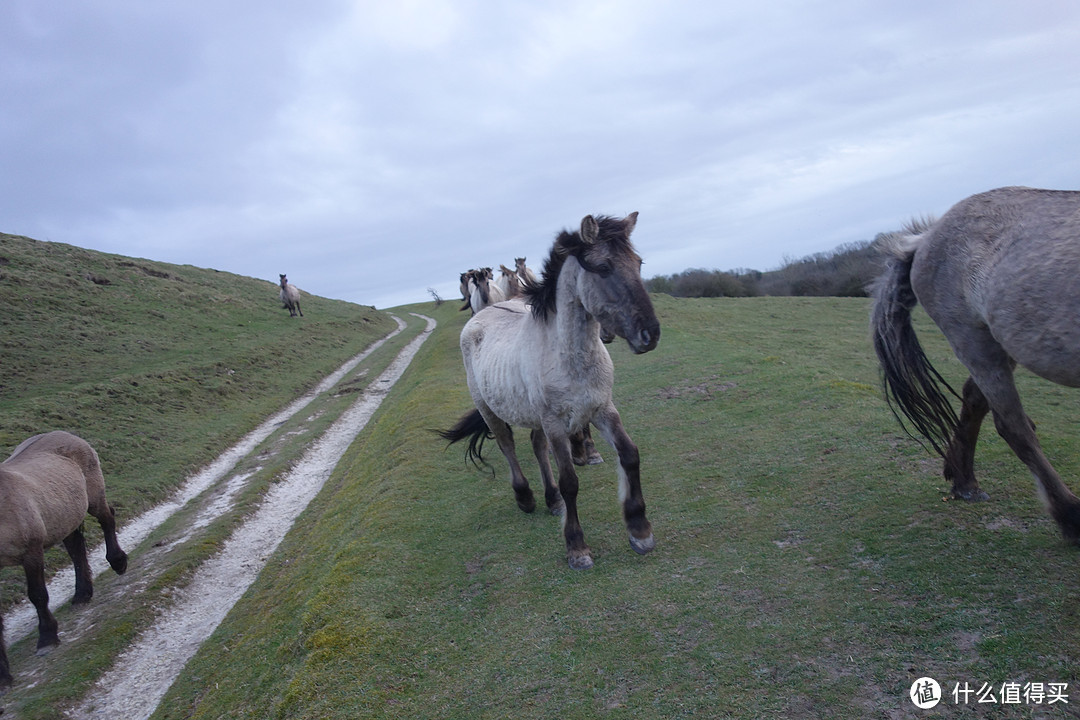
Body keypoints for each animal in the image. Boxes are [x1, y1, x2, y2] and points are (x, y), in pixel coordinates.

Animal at [0, 431, 129, 690]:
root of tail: (67, 434)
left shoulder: (31, 552)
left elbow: (38, 595)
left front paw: (47, 638)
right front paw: (2, 674)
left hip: (93, 496)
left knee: (107, 519)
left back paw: (118, 561)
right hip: (66, 514)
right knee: (76, 550)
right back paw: (82, 594)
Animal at [436, 212, 656, 569]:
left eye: (638, 263)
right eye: (604, 267)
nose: (650, 334)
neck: (569, 355)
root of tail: (483, 313)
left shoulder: (602, 408)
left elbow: (629, 455)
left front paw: (639, 531)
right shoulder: (555, 423)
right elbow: (570, 481)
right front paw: (576, 547)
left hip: (536, 416)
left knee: (537, 446)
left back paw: (551, 499)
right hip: (491, 410)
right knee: (508, 446)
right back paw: (525, 497)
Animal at [872, 188, 1080, 544]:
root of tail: (925, 237)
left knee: (975, 399)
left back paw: (964, 482)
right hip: (974, 341)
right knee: (1013, 426)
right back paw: (1069, 516)